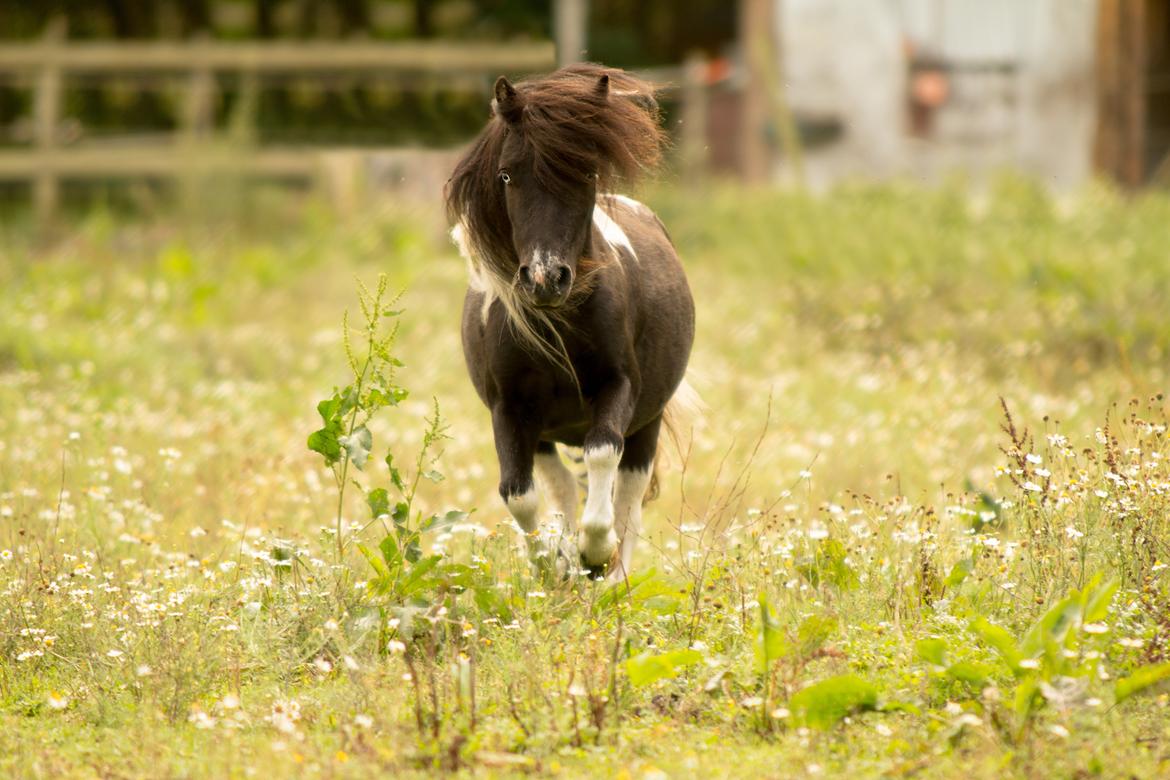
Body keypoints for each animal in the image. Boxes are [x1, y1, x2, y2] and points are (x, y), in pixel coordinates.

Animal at [442, 64, 687, 580]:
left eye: (588, 171)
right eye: (507, 174)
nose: (545, 278)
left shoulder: (619, 387)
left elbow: (602, 457)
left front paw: (594, 554)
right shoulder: (509, 407)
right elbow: (518, 494)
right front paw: (552, 564)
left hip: (648, 423)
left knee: (628, 500)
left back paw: (610, 576)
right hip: (543, 431)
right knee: (561, 488)